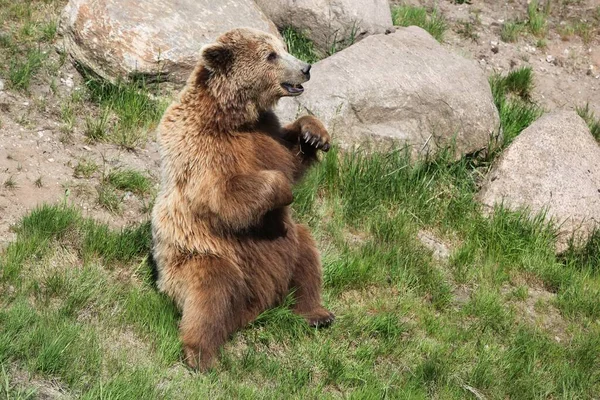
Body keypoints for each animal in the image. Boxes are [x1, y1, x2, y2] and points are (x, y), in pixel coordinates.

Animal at [151, 27, 332, 372]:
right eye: (271, 55)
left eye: (283, 47)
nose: (306, 68)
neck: (234, 116)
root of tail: (257, 305)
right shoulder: (202, 147)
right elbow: (224, 195)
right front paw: (284, 190)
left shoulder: (266, 132)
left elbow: (289, 155)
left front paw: (314, 134)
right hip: (199, 258)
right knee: (212, 294)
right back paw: (202, 355)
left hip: (289, 245)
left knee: (306, 257)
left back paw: (316, 313)